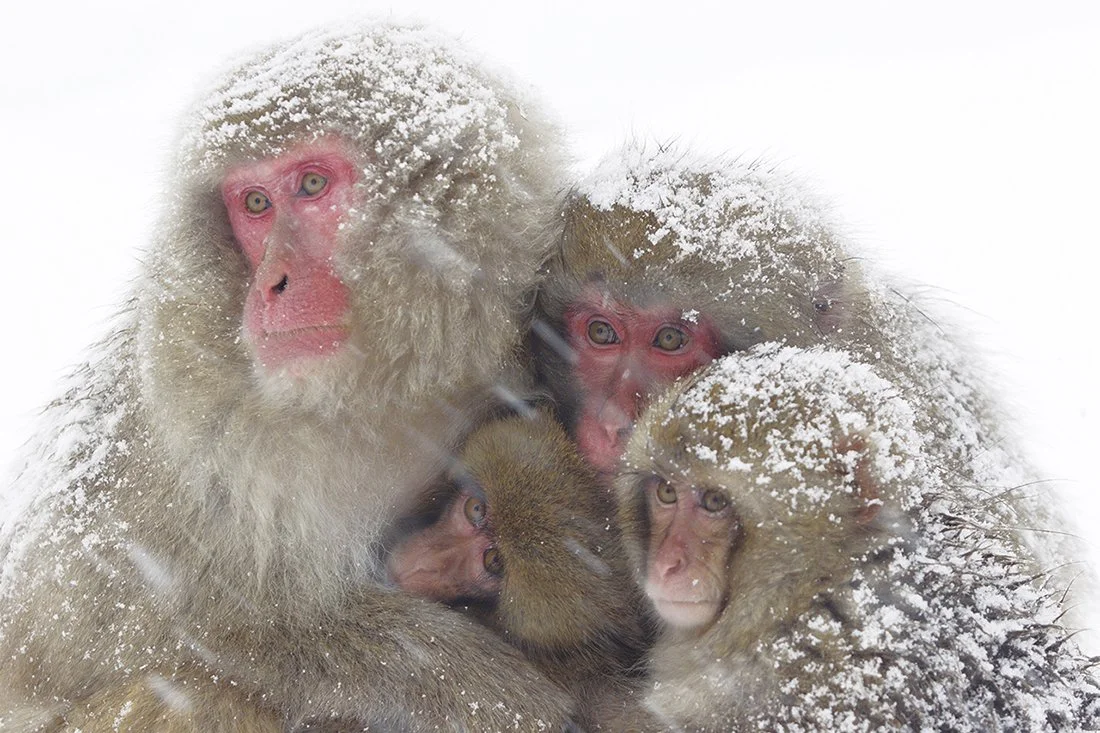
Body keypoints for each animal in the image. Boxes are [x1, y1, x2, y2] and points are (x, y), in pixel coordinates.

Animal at [0, 23, 578, 731]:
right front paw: (495, 695)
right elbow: (175, 628)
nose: (271, 283)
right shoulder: (215, 431)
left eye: (310, 185)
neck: (391, 384)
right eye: (254, 203)